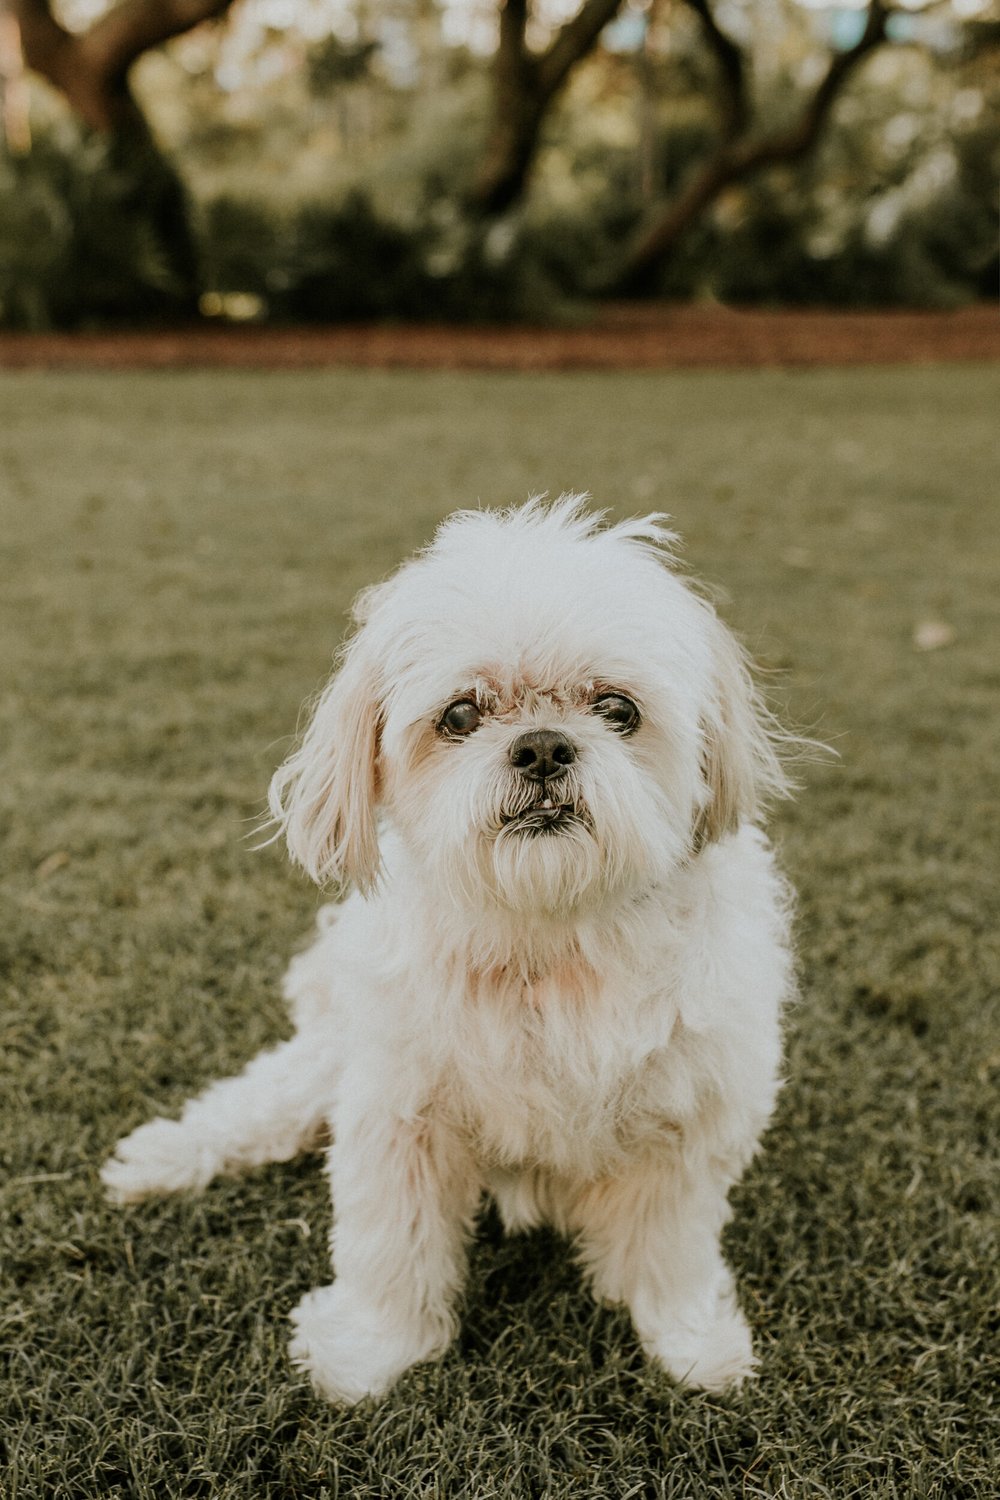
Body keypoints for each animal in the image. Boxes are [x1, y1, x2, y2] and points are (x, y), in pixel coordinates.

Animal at [103, 498, 797, 1398]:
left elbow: (668, 1252)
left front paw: (687, 1345)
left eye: (618, 710)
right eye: (461, 715)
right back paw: (159, 1159)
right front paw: (370, 1354)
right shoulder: (400, 1112)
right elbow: (391, 1247)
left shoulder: (685, 1125)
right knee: (256, 1104)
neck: (549, 935)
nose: (543, 745)